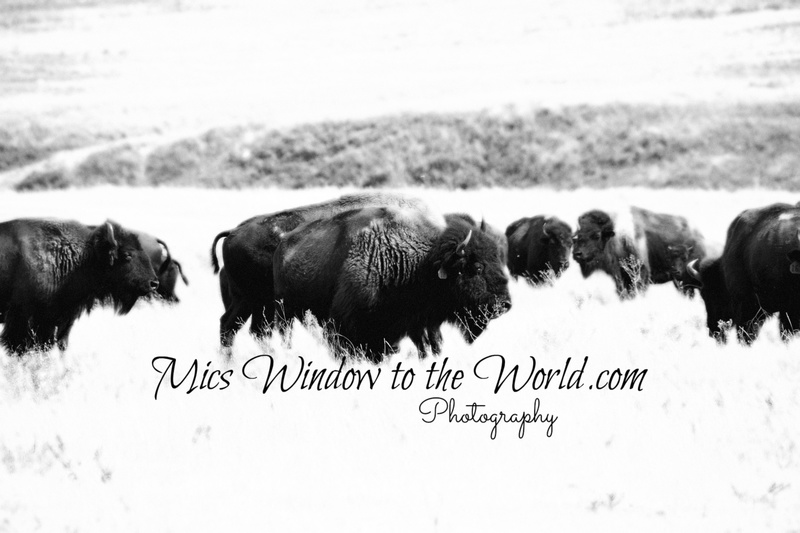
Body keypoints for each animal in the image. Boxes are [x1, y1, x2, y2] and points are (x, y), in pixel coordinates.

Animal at [272, 206, 512, 361]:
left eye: (498, 259)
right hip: (285, 314)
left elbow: (427, 345)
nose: (505, 304)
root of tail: (283, 244)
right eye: (477, 267)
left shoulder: (419, 322)